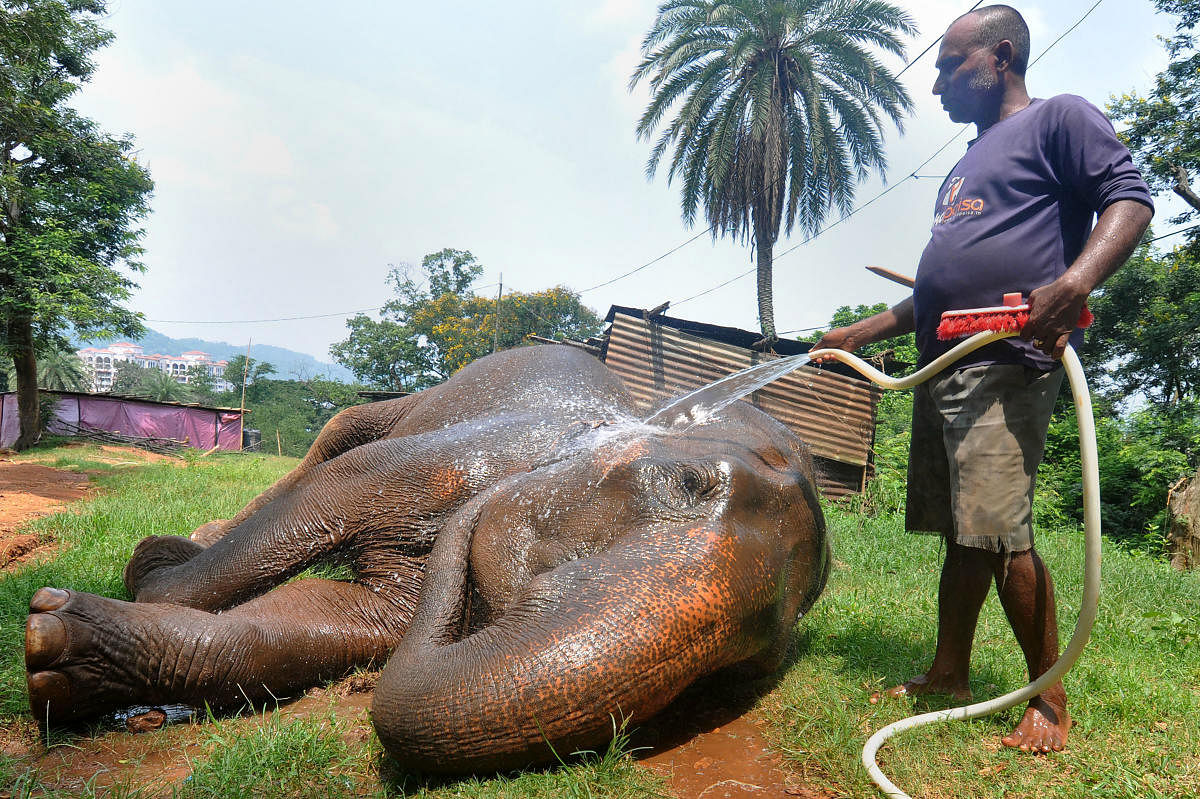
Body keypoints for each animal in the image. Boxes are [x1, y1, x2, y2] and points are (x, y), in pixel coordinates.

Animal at [23, 343, 830, 772]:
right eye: (690, 483)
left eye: (748, 666)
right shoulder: (477, 450)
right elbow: (337, 489)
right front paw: (149, 566)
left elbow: (336, 620)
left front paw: (58, 654)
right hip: (419, 398)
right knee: (335, 441)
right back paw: (201, 527)